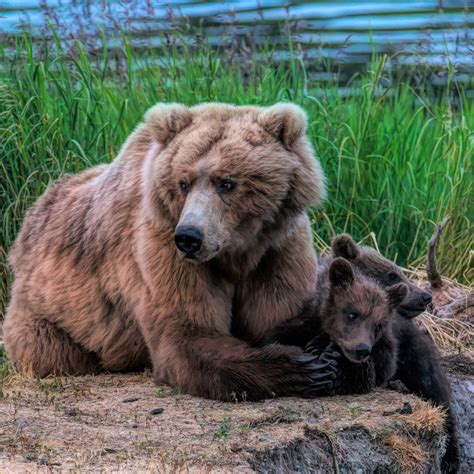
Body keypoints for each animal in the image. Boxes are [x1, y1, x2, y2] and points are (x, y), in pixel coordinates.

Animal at [4, 103, 336, 400]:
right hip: (47, 313)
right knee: (52, 349)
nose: (190, 237)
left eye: (226, 182)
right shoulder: (160, 247)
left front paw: (322, 351)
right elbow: (187, 335)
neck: (237, 251)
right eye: (183, 183)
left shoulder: (277, 247)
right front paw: (301, 367)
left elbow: (278, 316)